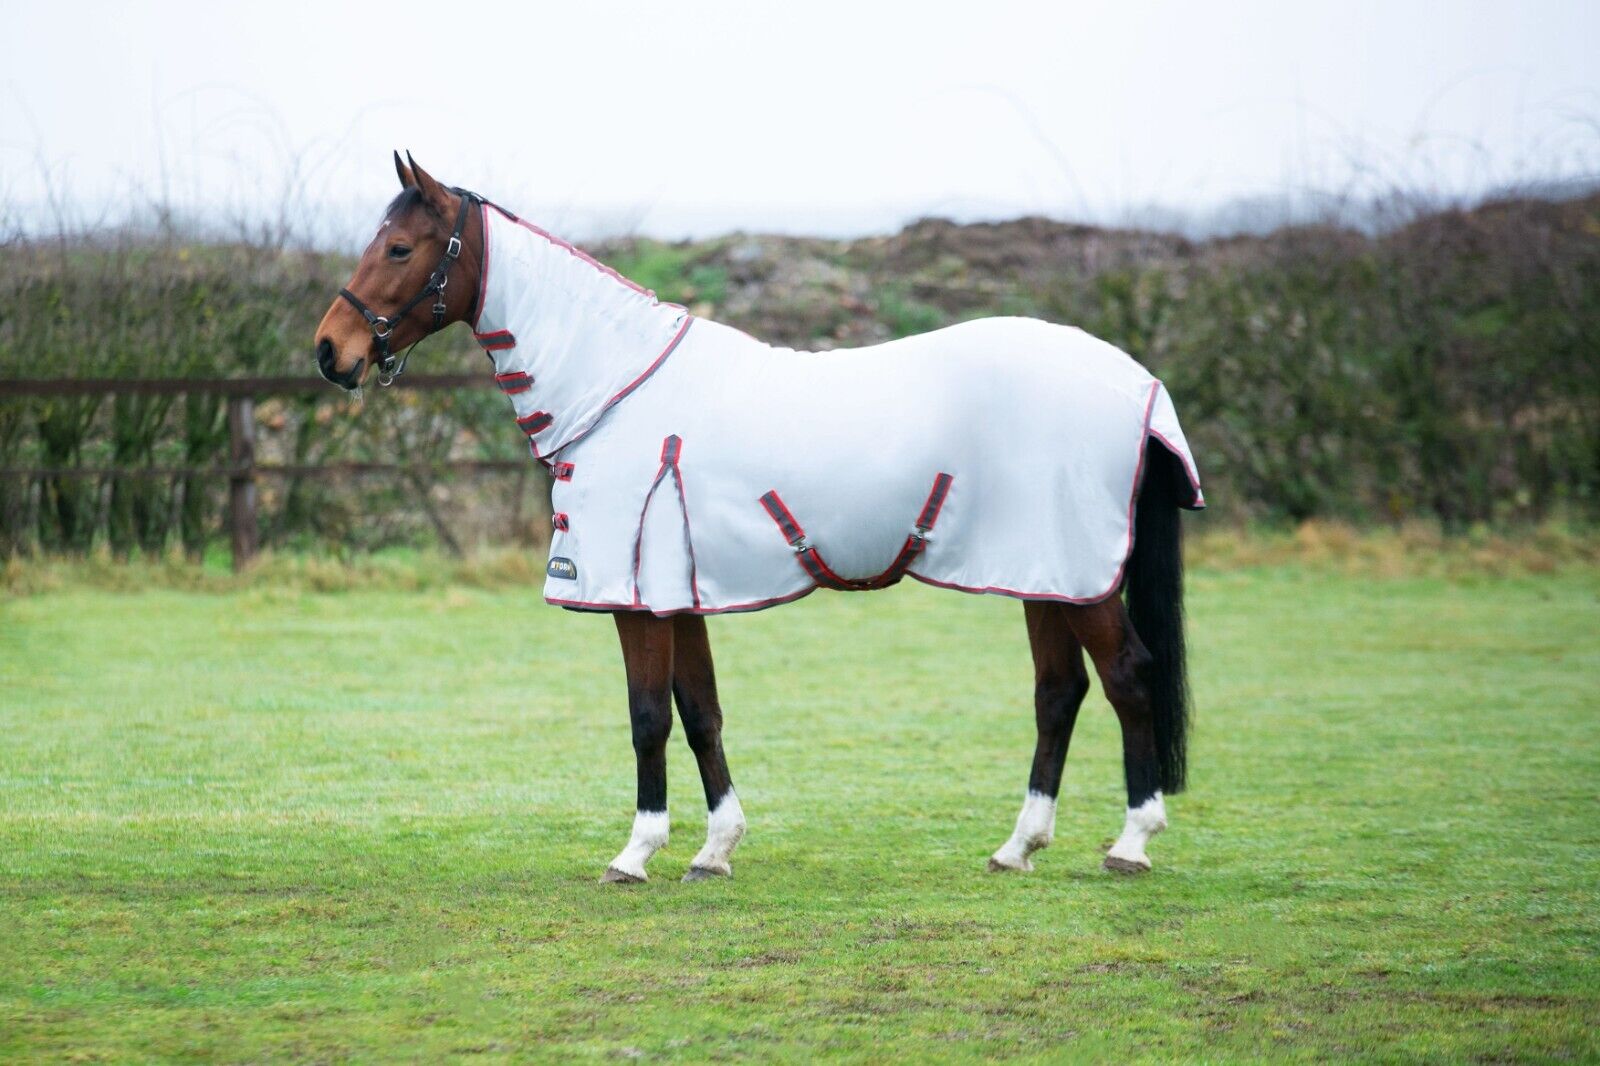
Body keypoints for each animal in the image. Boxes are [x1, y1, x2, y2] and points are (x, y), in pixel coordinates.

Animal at [314, 152, 1205, 884]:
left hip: (1079, 577)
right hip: (1041, 572)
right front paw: (714, 849)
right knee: (1059, 692)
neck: (617, 389)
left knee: (1128, 677)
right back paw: (1018, 847)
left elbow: (647, 718)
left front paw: (636, 853)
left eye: (401, 249)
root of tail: (1138, 381)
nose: (331, 352)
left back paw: (1131, 844)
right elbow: (700, 713)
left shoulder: (636, 600)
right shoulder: (677, 593)